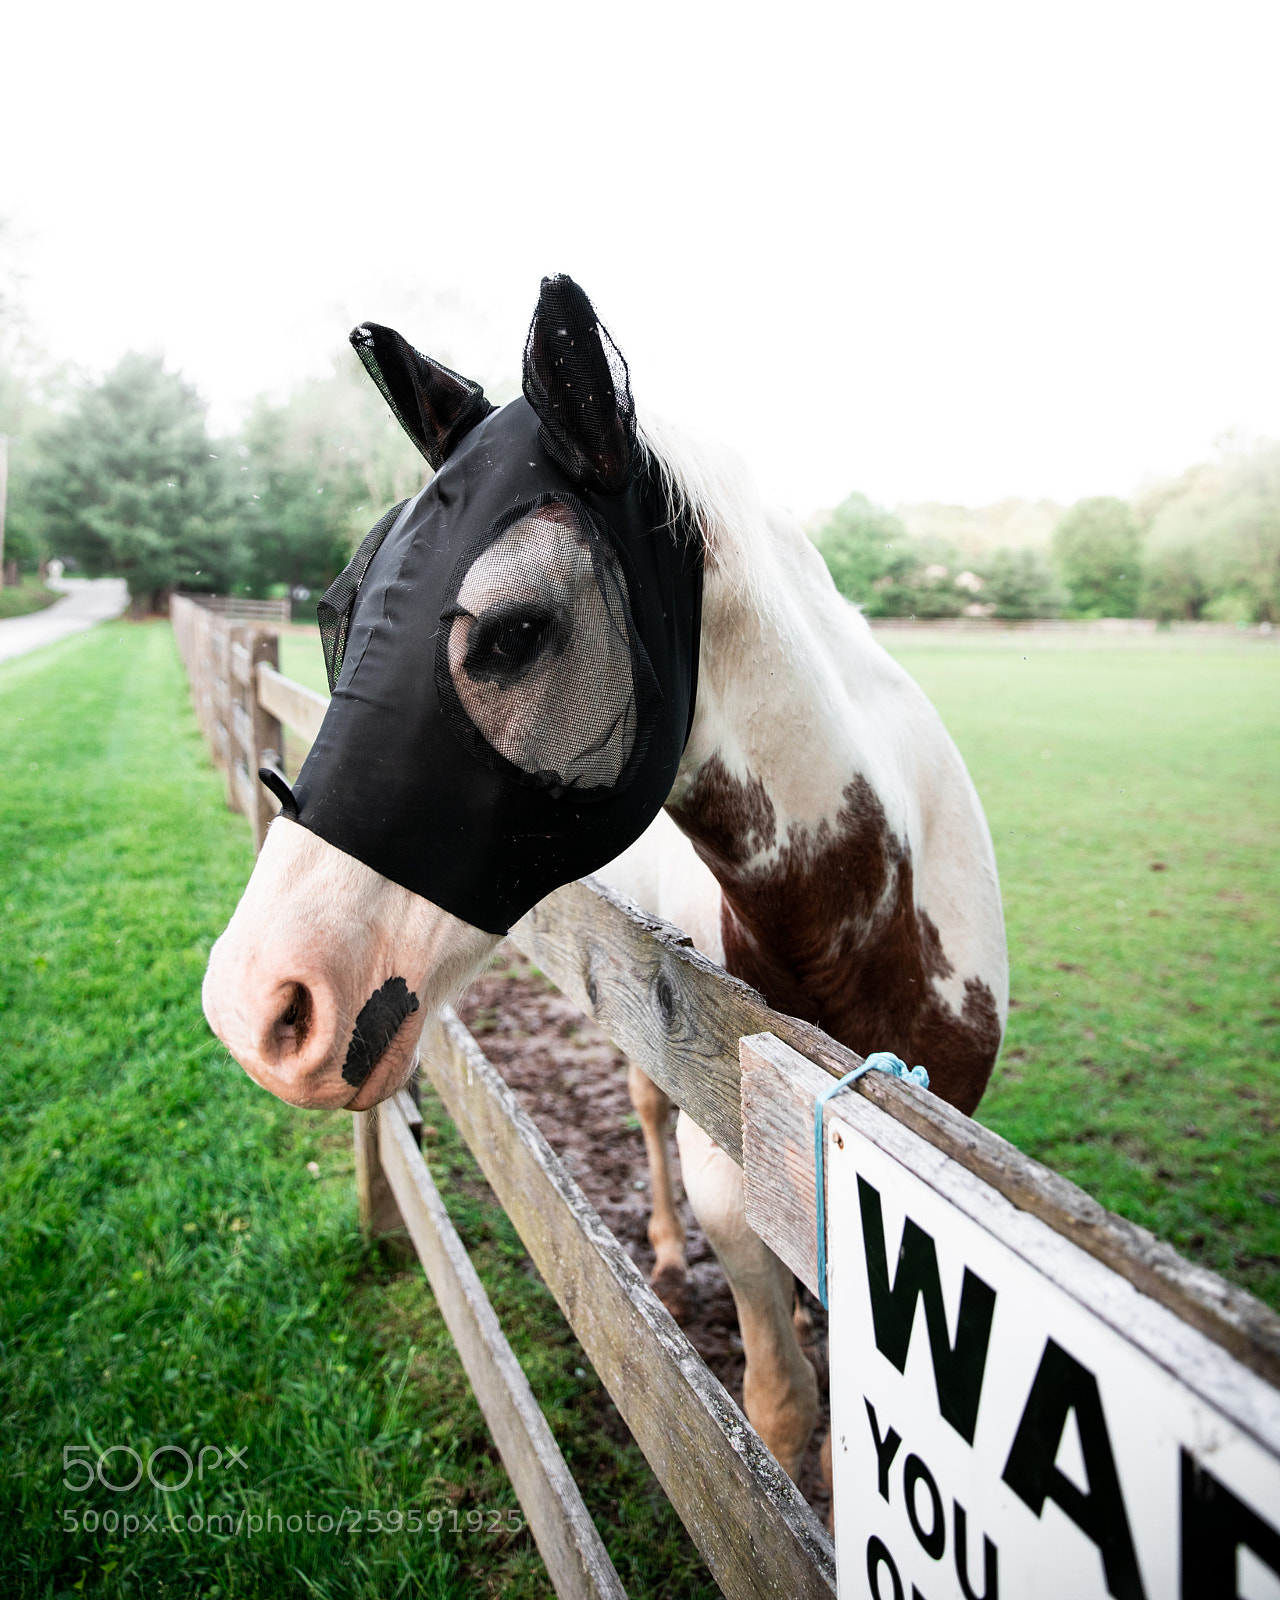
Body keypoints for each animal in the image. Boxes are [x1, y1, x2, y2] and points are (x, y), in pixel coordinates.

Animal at [202, 276, 1008, 1485]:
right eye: (334, 614)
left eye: (514, 633)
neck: (862, 932)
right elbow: (778, 1416)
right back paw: (666, 1252)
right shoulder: (733, 1183)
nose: (256, 1003)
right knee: (644, 1109)